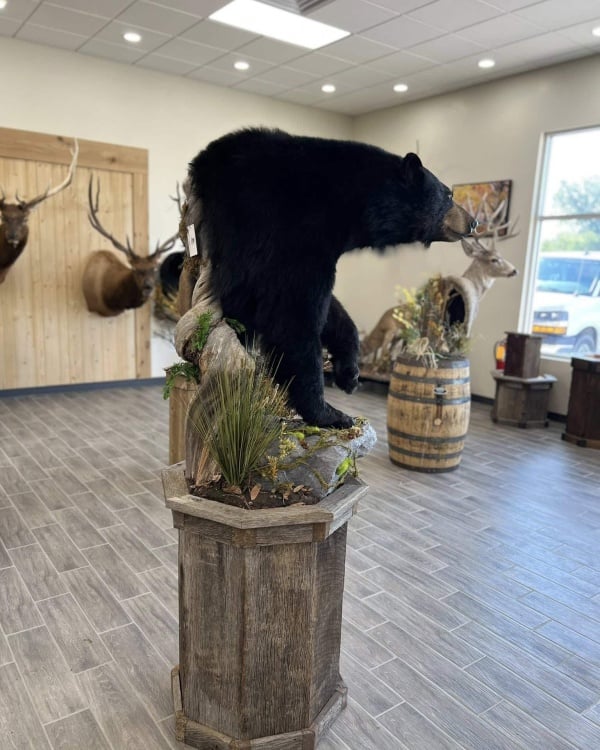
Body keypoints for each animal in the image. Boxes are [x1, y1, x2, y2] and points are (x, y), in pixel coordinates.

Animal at [186, 128, 476, 428]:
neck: (348, 202)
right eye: (449, 195)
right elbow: (294, 312)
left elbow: (328, 310)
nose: (473, 222)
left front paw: (349, 373)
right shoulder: (287, 229)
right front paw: (328, 412)